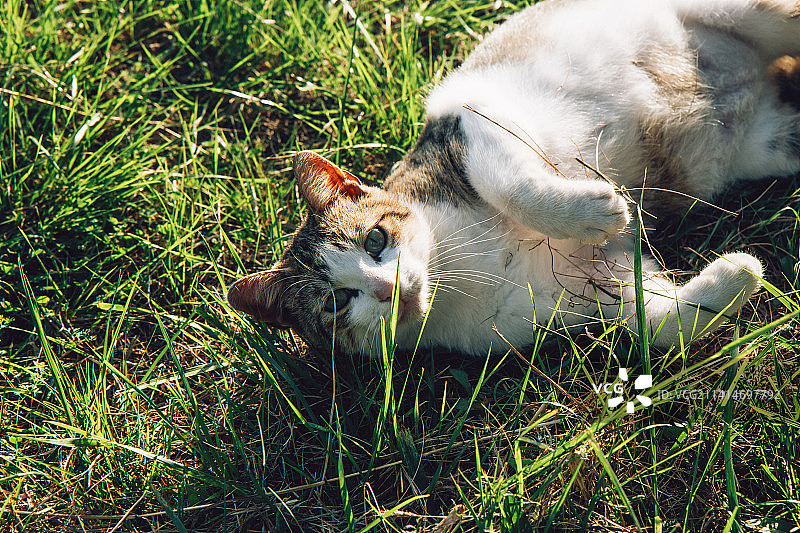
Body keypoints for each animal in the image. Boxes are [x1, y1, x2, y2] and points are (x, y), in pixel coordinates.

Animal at [227, 1, 800, 358]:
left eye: (374, 239)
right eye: (337, 303)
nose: (389, 289)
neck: (457, 269)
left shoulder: (472, 126)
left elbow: (515, 187)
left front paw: (598, 211)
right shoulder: (582, 290)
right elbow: (661, 323)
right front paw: (736, 275)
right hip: (772, 143)